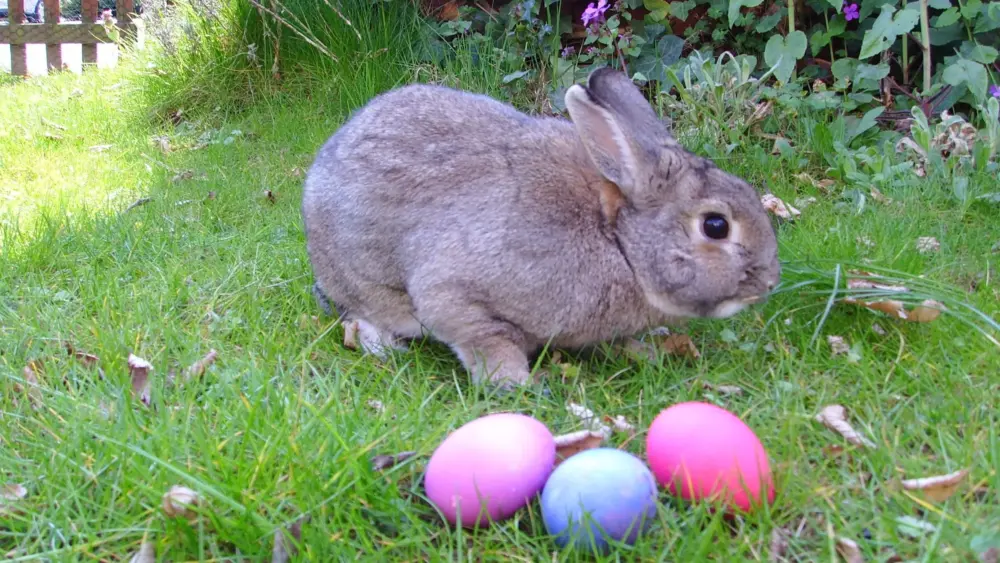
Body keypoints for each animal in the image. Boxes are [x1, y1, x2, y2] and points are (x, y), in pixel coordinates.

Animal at [301, 67, 780, 388]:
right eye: (715, 226)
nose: (770, 281)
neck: (619, 243)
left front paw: (646, 350)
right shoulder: (456, 293)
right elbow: (484, 337)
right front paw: (516, 384)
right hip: (365, 285)